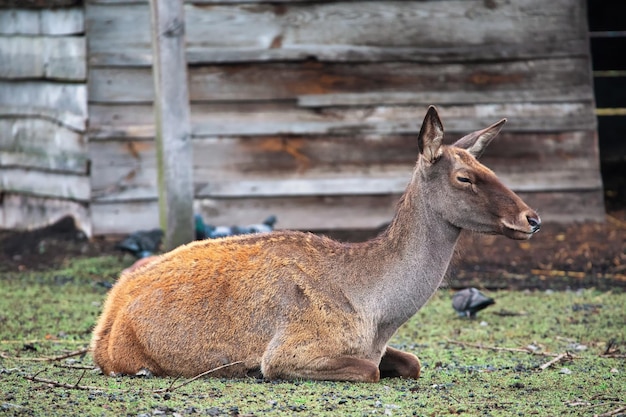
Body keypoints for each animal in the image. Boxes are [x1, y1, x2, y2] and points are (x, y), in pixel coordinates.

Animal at [90, 106, 540, 380]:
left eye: (488, 167)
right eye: (464, 177)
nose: (531, 218)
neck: (376, 315)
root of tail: (104, 323)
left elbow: (412, 361)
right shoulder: (288, 351)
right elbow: (369, 370)